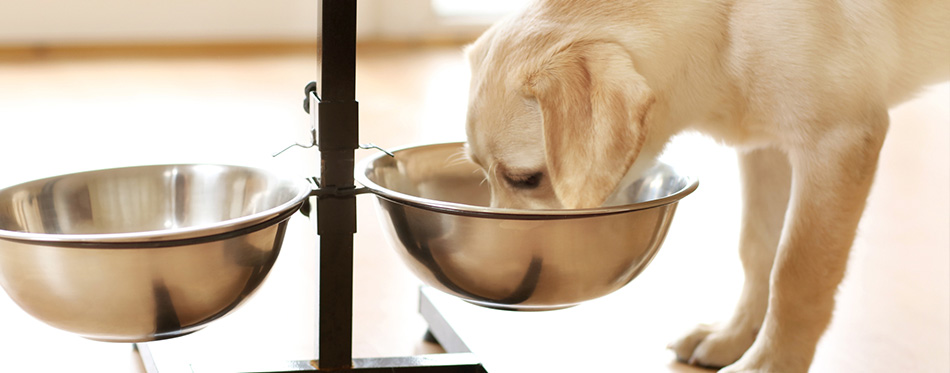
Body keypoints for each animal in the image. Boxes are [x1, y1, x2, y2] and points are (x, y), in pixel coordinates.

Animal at [466, 0, 950, 372]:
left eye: (525, 179)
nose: (499, 278)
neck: (725, 23)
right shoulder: (766, 146)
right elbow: (758, 250)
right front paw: (735, 335)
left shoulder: (837, 142)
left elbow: (795, 273)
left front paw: (770, 363)